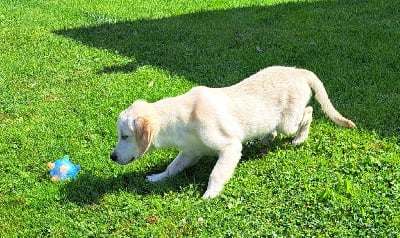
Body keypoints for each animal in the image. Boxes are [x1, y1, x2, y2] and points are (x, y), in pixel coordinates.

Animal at [109, 66, 356, 198]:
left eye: (125, 136)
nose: (112, 157)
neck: (183, 118)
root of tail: (299, 72)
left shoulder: (230, 147)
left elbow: (216, 173)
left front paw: (210, 195)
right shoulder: (191, 151)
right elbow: (173, 167)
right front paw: (157, 177)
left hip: (289, 121)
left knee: (309, 112)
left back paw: (300, 138)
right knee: (274, 129)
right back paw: (263, 139)